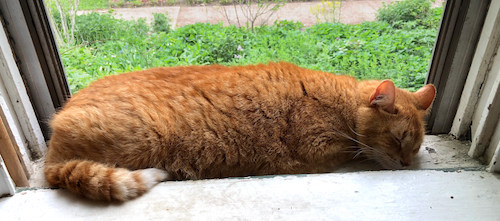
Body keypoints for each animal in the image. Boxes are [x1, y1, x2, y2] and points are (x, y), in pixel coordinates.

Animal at [45, 61, 436, 201]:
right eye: (398, 139)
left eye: (415, 147)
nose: (405, 165)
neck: (341, 103)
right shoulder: (319, 148)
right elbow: (352, 150)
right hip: (145, 141)